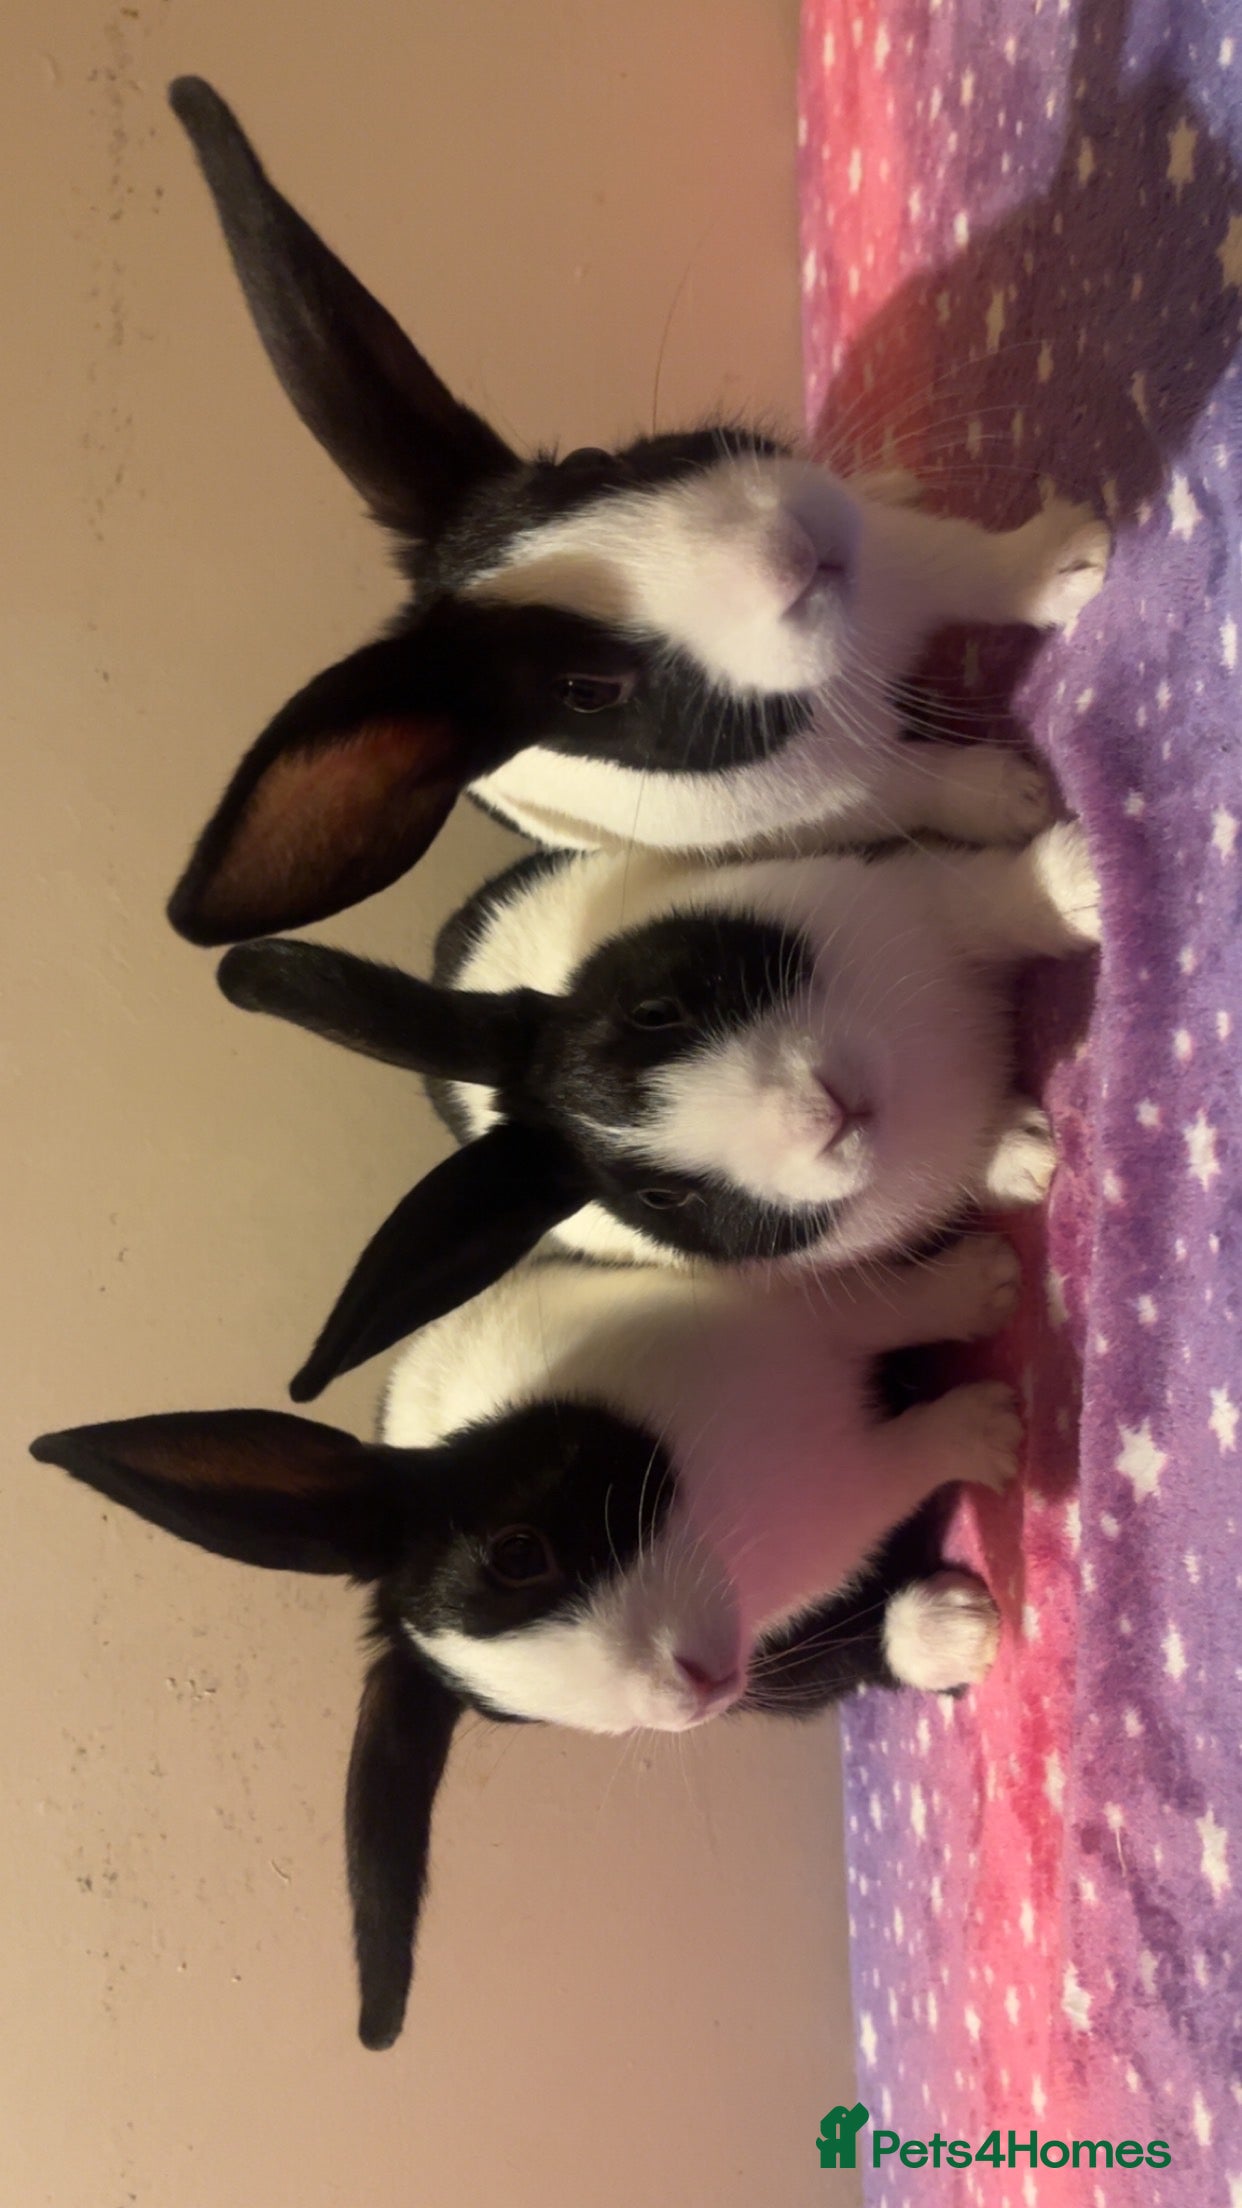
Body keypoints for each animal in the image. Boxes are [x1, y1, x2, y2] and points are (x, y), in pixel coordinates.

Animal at [32, 1232, 1022, 2047]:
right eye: (513, 1722)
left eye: (517, 1554)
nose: (697, 1692)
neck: (727, 1528)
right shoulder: (794, 1628)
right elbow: (869, 1599)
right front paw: (970, 1572)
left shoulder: (766, 1313)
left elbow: (877, 1303)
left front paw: (993, 1282)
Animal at [161, 76, 1110, 948]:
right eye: (584, 691)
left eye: (587, 462)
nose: (788, 546)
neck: (854, 655)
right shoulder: (838, 801)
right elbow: (923, 784)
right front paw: (1016, 798)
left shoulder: (905, 564)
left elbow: (976, 568)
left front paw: (1080, 561)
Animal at [217, 819, 1099, 1398]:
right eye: (661, 1197)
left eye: (653, 1011)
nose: (821, 1112)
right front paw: (1023, 1176)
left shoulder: (911, 897)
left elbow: (995, 900)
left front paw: (1083, 885)